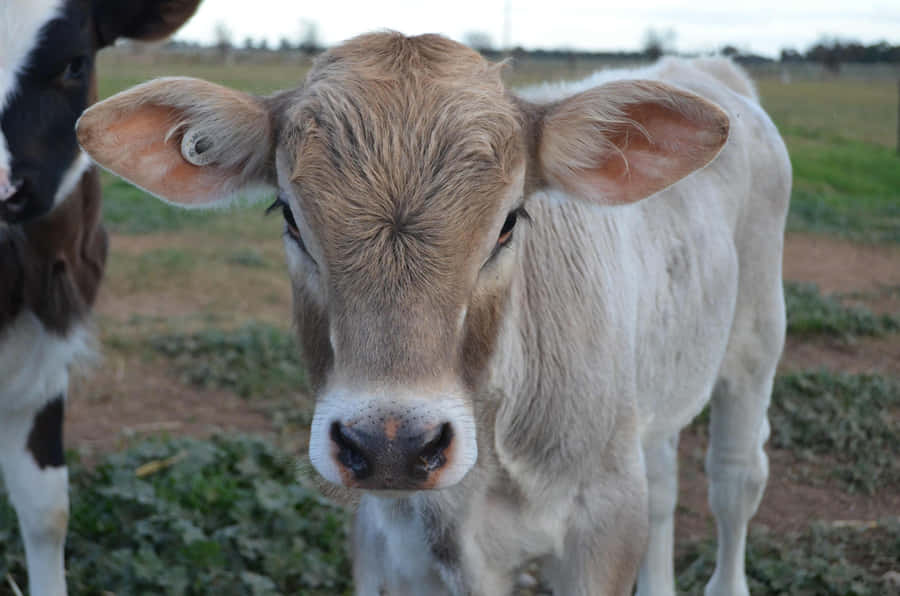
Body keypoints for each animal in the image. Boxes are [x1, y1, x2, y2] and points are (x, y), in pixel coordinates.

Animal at [76, 32, 791, 596]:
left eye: (509, 222)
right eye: (289, 217)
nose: (390, 445)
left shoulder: (604, 526)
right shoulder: (391, 543)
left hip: (757, 342)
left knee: (736, 479)